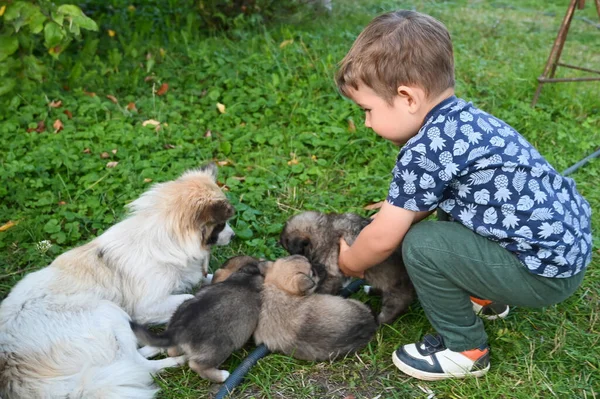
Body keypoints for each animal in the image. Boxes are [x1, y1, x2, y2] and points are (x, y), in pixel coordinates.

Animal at [130, 256, 264, 384]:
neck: (247, 275)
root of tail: (177, 331)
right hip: (220, 349)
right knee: (196, 365)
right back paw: (222, 375)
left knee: (172, 351)